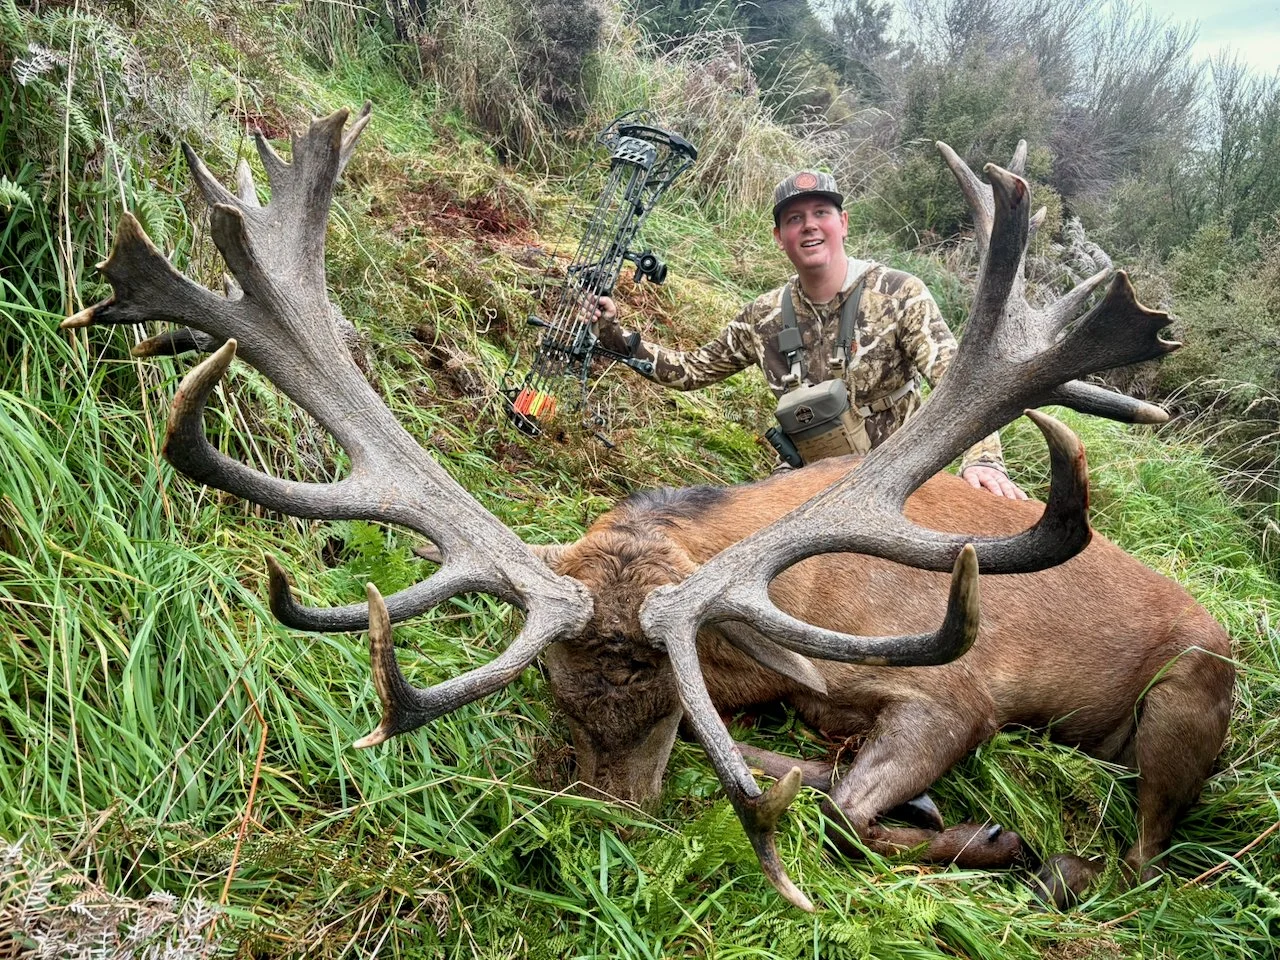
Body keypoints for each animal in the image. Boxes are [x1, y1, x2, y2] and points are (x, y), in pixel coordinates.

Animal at [64, 104, 1234, 913]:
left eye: (673, 712)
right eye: (550, 695)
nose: (601, 826)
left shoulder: (958, 691)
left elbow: (846, 810)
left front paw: (984, 832)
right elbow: (819, 783)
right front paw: (853, 781)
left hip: (1194, 692)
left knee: (1138, 856)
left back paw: (1056, 858)